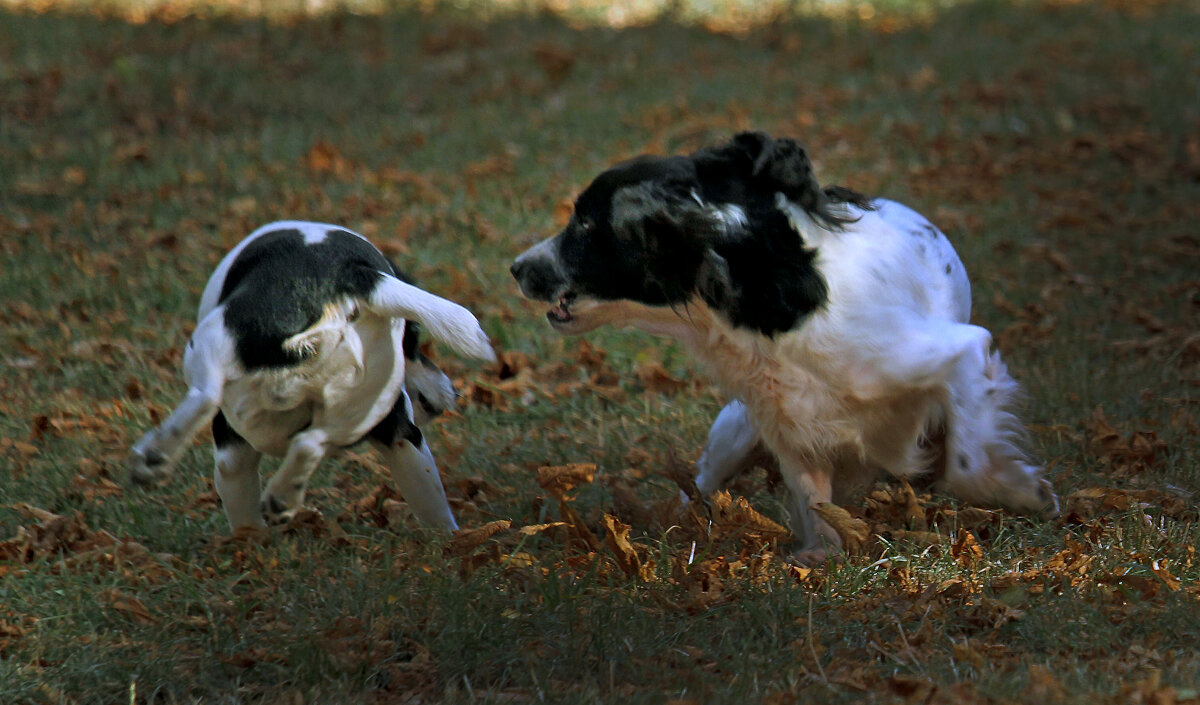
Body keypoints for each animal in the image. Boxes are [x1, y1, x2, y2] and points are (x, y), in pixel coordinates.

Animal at [135, 220, 496, 527]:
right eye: (415, 340)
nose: (452, 393)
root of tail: (346, 274)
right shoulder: (401, 437)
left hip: (210, 340)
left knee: (205, 397)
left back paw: (154, 456)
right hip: (362, 408)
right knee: (309, 443)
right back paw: (280, 497)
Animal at [511, 130, 1056, 561]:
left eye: (586, 222)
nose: (516, 267)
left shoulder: (955, 352)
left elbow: (967, 465)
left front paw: (1025, 492)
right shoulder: (789, 428)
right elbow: (817, 505)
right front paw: (820, 557)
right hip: (734, 430)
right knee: (702, 483)